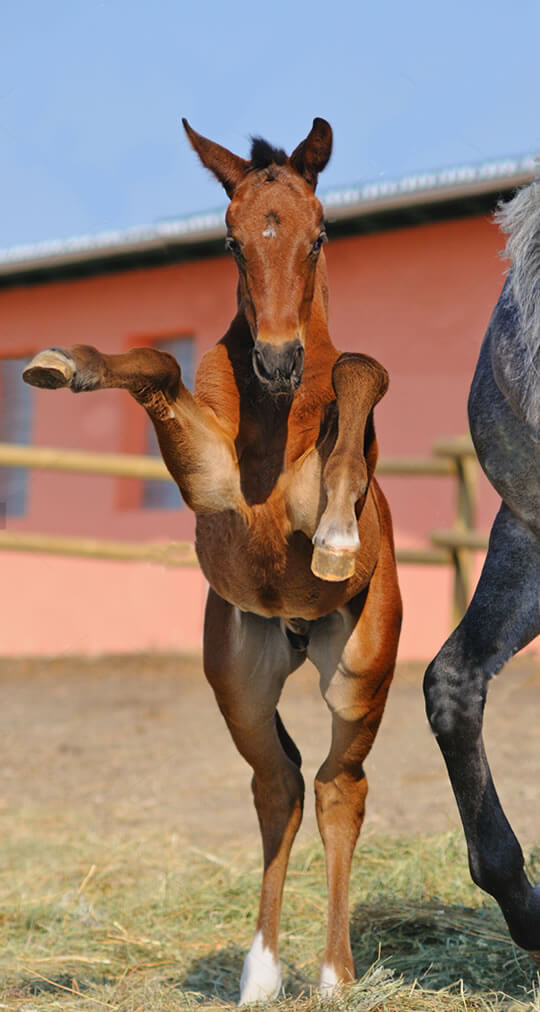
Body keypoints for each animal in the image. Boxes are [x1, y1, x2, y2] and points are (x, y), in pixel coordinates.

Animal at [22, 118, 402, 1002]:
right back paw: (260, 974)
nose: (276, 361)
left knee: (339, 788)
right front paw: (64, 362)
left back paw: (334, 976)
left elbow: (361, 368)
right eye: (230, 240)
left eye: (319, 233)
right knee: (280, 785)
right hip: (241, 678)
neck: (274, 424)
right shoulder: (213, 490)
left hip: (359, 670)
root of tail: (297, 635)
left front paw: (336, 533)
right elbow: (158, 367)